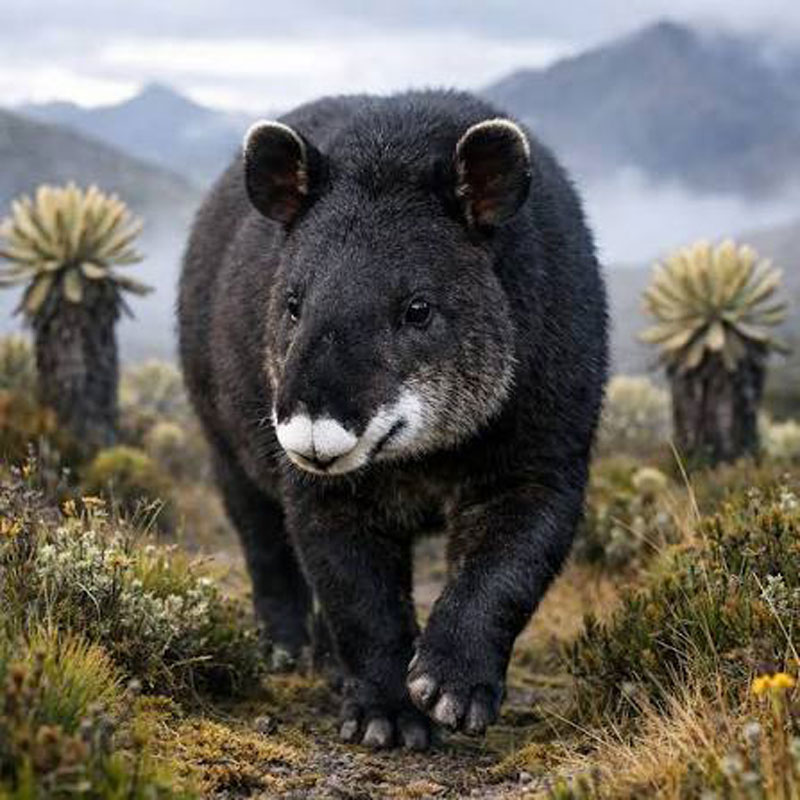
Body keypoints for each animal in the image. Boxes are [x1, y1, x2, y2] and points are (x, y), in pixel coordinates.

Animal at [178, 90, 608, 750]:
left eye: (418, 309)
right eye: (292, 304)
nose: (311, 434)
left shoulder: (545, 438)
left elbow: (509, 562)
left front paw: (452, 688)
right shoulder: (322, 487)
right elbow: (356, 592)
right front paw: (388, 717)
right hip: (220, 431)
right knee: (260, 532)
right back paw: (288, 652)